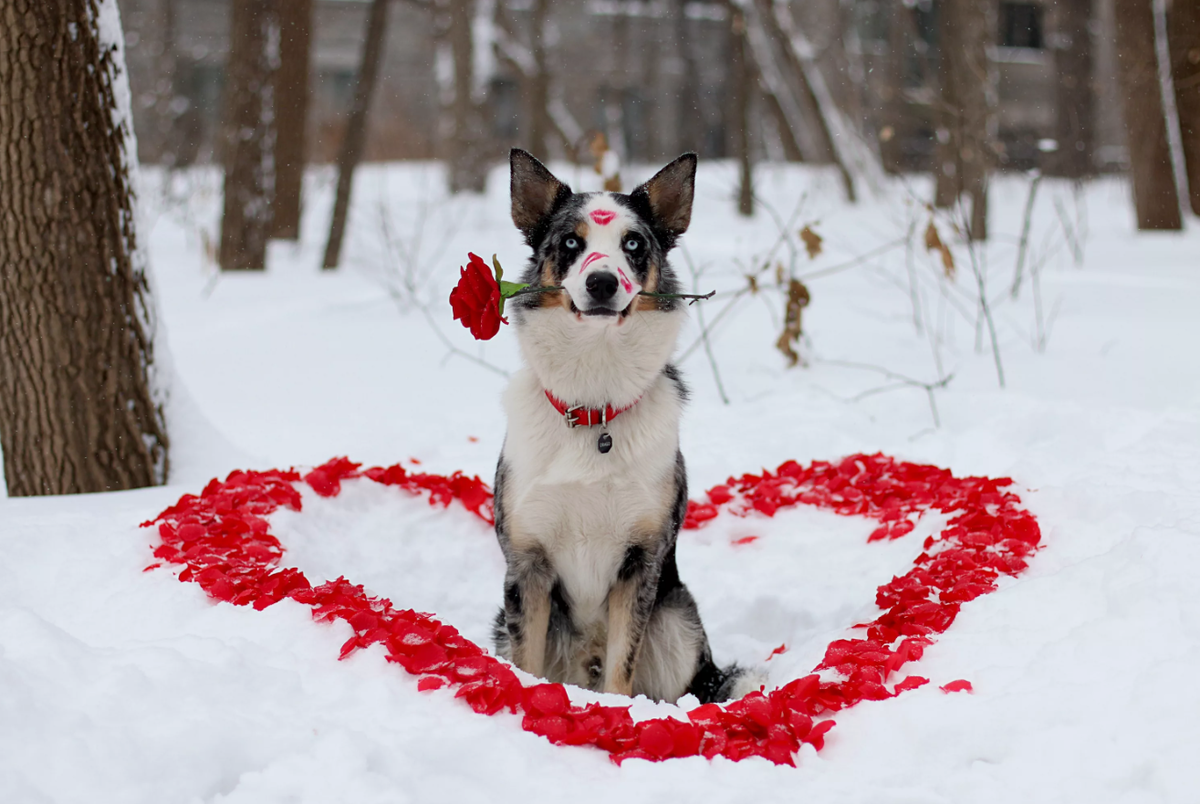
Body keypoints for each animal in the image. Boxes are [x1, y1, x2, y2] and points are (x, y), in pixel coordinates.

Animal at [487, 151, 748, 705]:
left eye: (634, 244)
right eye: (570, 243)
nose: (603, 283)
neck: (595, 406)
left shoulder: (640, 562)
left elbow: (622, 668)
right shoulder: (527, 565)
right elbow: (527, 663)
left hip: (678, 622)